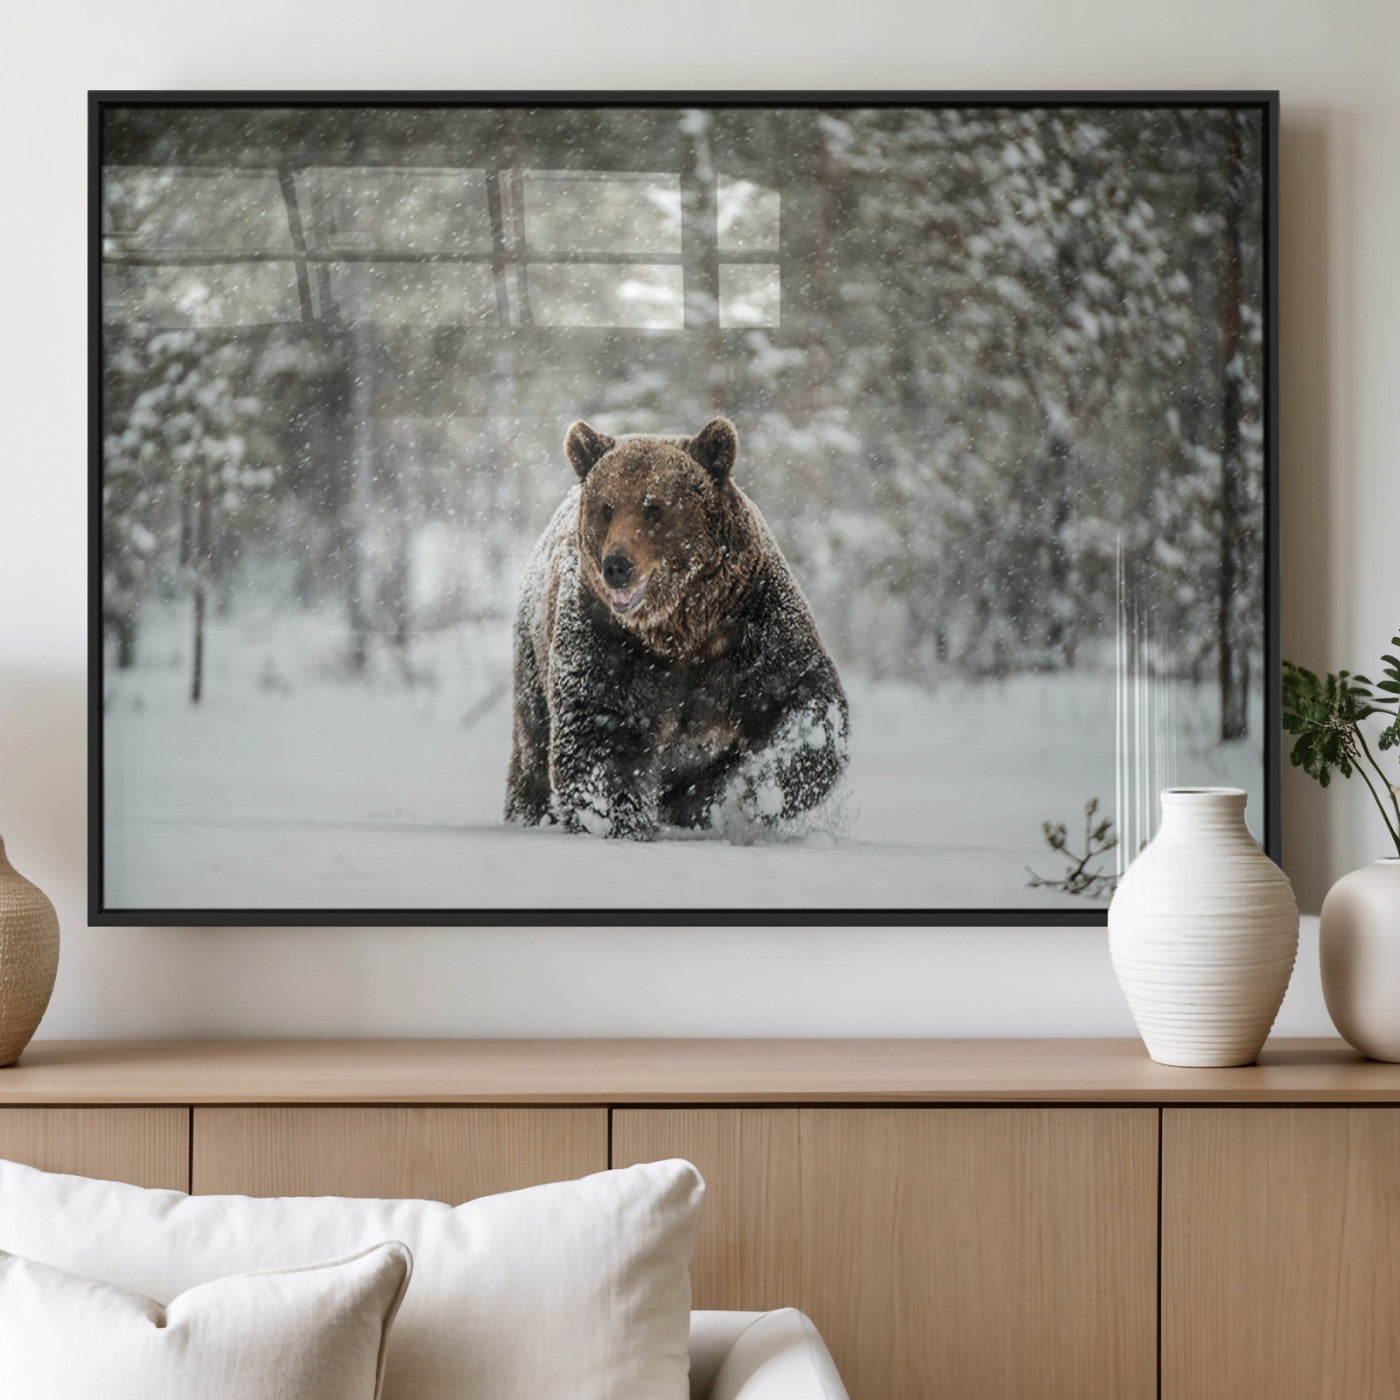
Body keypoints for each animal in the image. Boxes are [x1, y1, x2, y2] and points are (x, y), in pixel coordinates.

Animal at [504, 417, 849, 841]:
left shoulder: (752, 625)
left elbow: (804, 701)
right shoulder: (607, 640)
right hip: (533, 657)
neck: (680, 627)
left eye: (654, 507)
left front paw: (758, 792)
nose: (617, 566)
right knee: (533, 752)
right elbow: (600, 733)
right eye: (607, 507)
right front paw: (616, 823)